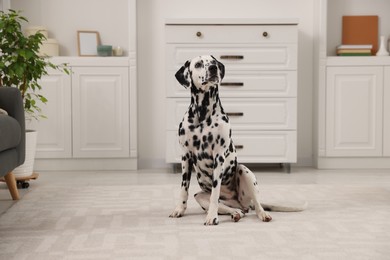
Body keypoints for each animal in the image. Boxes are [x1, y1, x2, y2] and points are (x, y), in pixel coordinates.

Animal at [169, 55, 306, 225]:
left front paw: (212, 217)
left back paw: (262, 214)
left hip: (244, 172)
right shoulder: (186, 157)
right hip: (200, 196)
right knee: (234, 209)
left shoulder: (218, 157)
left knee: (256, 204)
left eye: (213, 61)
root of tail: (240, 203)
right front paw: (179, 210)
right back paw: (235, 213)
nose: (213, 68)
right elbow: (184, 189)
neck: (203, 115)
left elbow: (215, 192)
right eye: (198, 64)